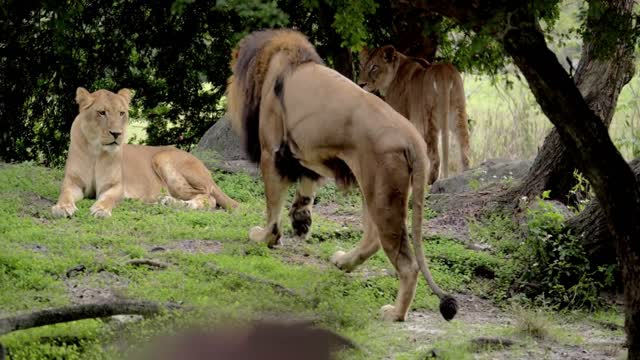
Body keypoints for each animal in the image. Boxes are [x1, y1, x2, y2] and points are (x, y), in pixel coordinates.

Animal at [52, 86, 238, 219]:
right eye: (102, 112)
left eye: (122, 113)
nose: (116, 134)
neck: (96, 152)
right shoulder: (72, 182)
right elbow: (65, 195)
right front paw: (62, 207)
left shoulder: (115, 186)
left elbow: (108, 199)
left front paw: (101, 210)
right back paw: (165, 201)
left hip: (163, 158)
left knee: (209, 196)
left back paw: (182, 204)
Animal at [225, 30, 456, 320]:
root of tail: (413, 138)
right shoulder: (305, 154)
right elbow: (304, 193)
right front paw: (301, 223)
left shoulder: (272, 152)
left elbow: (272, 208)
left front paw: (265, 237)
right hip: (374, 189)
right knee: (372, 238)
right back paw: (344, 262)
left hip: (383, 196)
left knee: (407, 264)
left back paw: (395, 313)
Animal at [356, 45, 470, 184]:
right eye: (362, 66)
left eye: (374, 67)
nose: (361, 84)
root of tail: (443, 70)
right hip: (458, 113)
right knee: (465, 146)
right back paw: (465, 174)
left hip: (429, 118)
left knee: (435, 156)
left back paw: (430, 183)